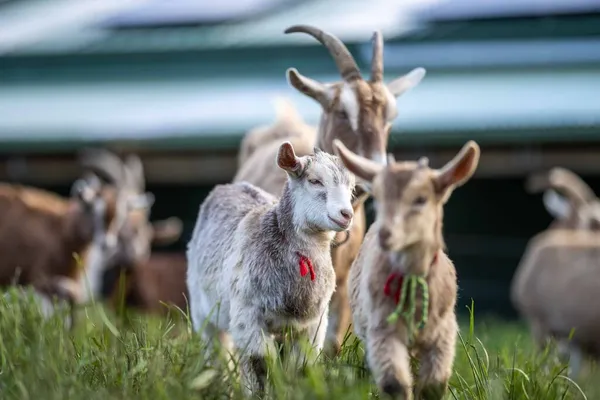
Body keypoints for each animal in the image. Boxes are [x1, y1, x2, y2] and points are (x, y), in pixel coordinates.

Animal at [189, 142, 356, 396]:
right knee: (216, 352)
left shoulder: (313, 325)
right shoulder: (247, 317)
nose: (346, 214)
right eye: (315, 181)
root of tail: (229, 186)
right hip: (203, 313)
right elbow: (260, 363)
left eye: (352, 187)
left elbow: (301, 368)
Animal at [336, 139, 480, 398]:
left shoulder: (443, 334)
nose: (385, 234)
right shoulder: (383, 330)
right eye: (378, 197)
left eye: (421, 199)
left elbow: (434, 385)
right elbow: (394, 382)